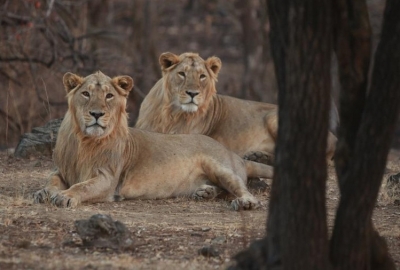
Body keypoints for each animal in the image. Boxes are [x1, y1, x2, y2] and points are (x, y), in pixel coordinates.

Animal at [33, 70, 276, 210]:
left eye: (109, 96)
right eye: (86, 94)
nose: (96, 114)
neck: (85, 141)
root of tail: (236, 155)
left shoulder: (108, 178)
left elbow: (82, 187)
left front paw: (65, 196)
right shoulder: (61, 171)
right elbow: (51, 181)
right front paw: (44, 192)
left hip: (219, 166)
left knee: (242, 188)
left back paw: (245, 203)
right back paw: (205, 192)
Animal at [135, 51, 338, 163]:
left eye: (202, 76)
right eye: (182, 74)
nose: (193, 93)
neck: (170, 114)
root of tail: (333, 136)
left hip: (275, 118)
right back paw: (257, 156)